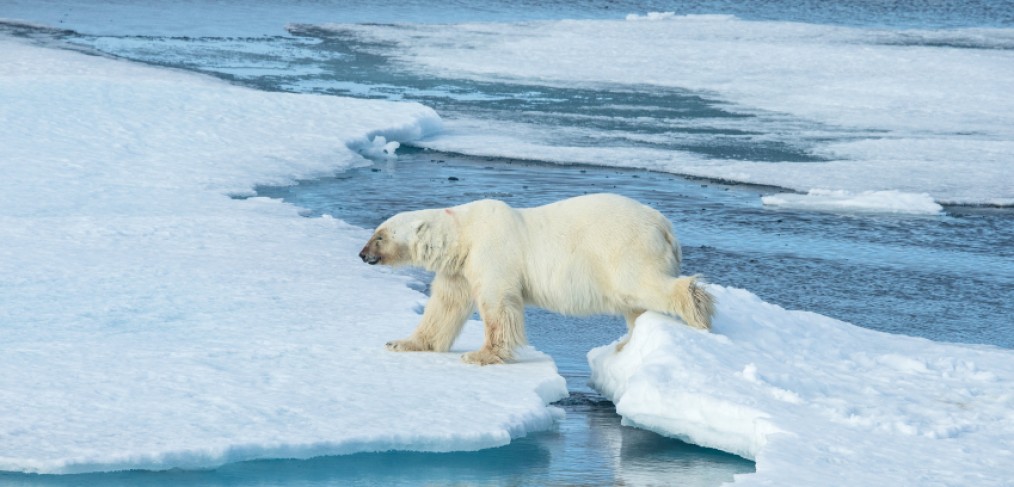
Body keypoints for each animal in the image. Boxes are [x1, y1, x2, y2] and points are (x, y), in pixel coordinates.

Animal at [356, 191, 713, 363]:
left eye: (379, 236)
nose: (362, 254)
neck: (464, 234)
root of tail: (664, 226)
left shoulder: (492, 253)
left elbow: (498, 305)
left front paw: (481, 355)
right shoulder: (459, 268)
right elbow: (445, 307)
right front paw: (402, 342)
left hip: (624, 248)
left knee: (641, 285)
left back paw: (697, 308)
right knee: (634, 303)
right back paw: (627, 343)